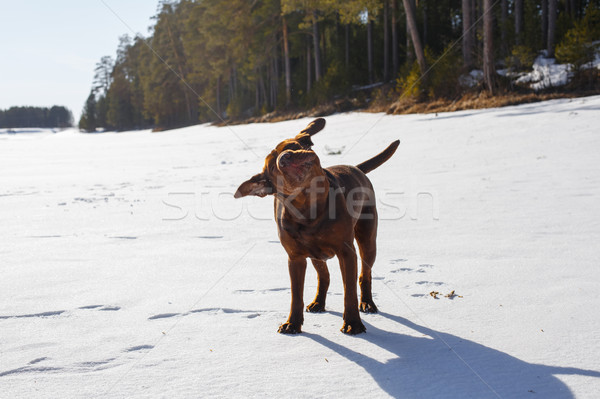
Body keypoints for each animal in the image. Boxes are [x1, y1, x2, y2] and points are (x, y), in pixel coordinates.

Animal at [234, 119, 398, 334]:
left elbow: (349, 291)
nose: (285, 158)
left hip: (367, 239)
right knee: (324, 276)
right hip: (315, 255)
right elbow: (296, 295)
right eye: (272, 168)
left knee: (365, 273)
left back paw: (367, 303)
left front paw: (352, 322)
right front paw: (293, 323)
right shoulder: (295, 258)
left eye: (291, 146)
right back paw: (318, 302)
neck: (308, 209)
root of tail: (356, 168)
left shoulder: (346, 252)